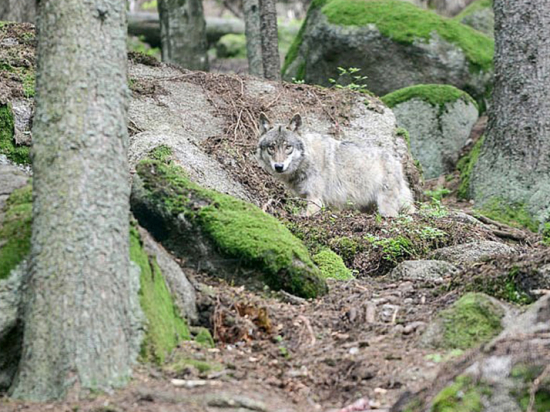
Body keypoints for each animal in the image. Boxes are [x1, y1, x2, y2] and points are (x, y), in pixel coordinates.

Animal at [256, 111, 416, 217]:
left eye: (288, 147)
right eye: (271, 147)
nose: (279, 166)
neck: (306, 160)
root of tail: (396, 161)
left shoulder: (315, 201)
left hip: (385, 207)